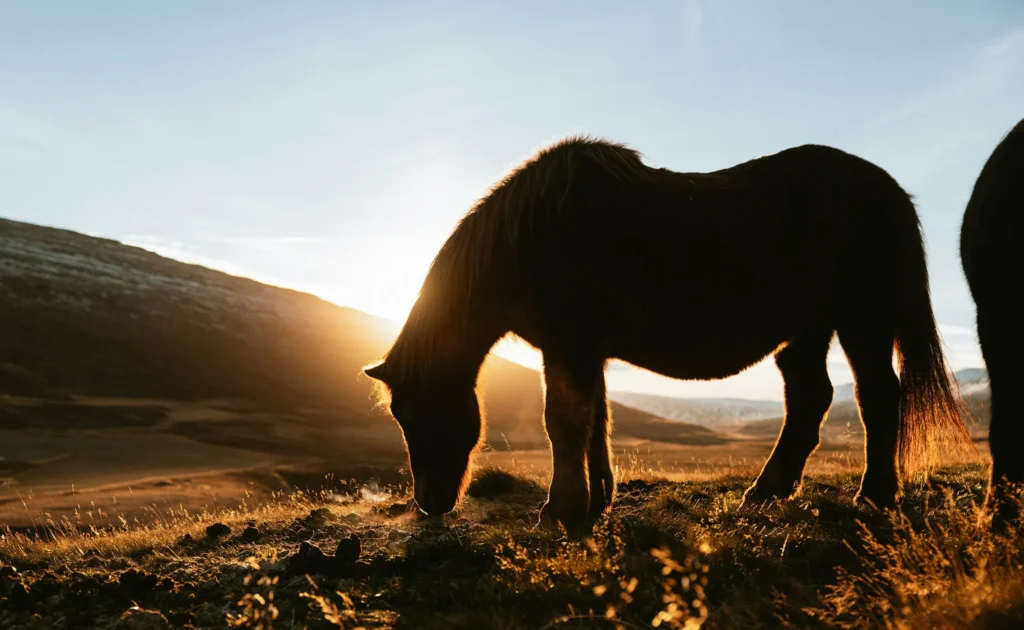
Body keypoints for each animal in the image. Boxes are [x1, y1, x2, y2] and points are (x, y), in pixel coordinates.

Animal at [364, 135, 970, 528]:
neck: (529, 236)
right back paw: (765, 493)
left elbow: (564, 421)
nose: (430, 503)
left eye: (415, 415)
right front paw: (596, 502)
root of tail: (890, 190)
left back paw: (876, 496)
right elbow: (596, 422)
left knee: (876, 396)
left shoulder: (569, 346)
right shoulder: (584, 352)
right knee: (809, 398)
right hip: (807, 330)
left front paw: (560, 511)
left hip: (861, 320)